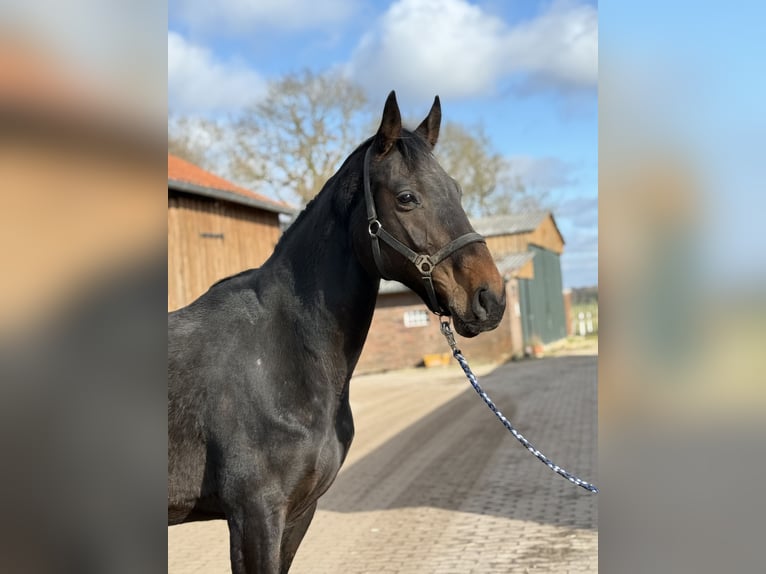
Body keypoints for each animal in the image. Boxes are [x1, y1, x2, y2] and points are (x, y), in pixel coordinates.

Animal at [168, 92, 508, 572]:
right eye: (406, 198)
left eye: (457, 190)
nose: (490, 297)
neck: (277, 357)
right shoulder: (254, 516)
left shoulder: (298, 513)